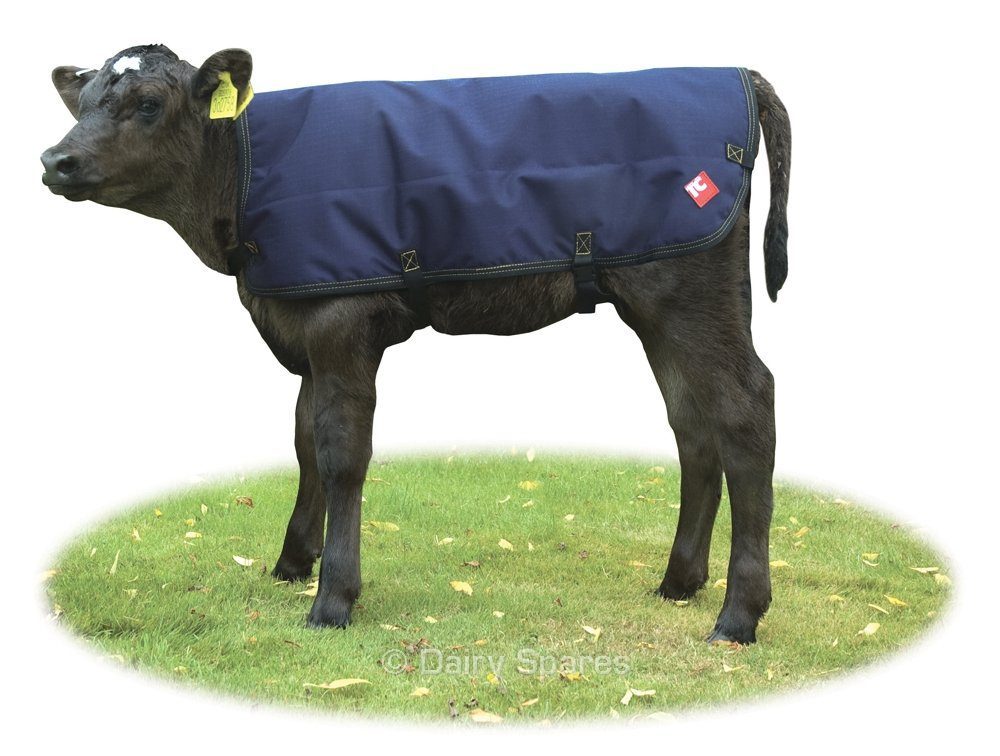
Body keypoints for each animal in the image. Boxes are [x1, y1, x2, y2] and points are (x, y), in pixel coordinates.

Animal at [41, 45, 791, 645]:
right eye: (85, 99)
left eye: (148, 103)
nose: (56, 159)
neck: (246, 176)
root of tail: (738, 74)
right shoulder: (303, 325)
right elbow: (304, 441)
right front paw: (293, 563)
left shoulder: (342, 320)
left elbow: (342, 454)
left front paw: (333, 600)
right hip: (662, 307)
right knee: (692, 424)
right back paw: (678, 581)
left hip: (688, 292)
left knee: (745, 409)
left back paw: (737, 616)